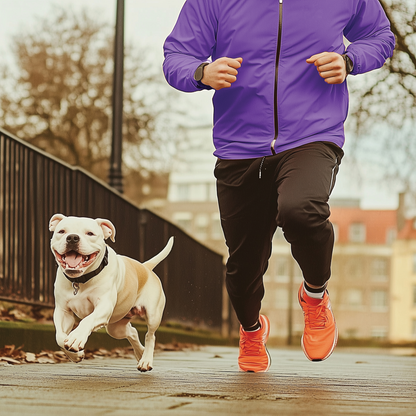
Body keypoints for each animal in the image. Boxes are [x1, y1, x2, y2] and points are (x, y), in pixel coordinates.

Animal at [48, 214, 172, 370]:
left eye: (90, 233)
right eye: (61, 231)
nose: (72, 237)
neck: (81, 279)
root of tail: (145, 267)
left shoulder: (104, 307)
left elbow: (88, 320)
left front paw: (76, 338)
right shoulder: (63, 312)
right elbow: (59, 337)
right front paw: (75, 355)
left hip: (153, 315)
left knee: (150, 336)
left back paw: (146, 360)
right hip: (116, 327)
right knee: (132, 332)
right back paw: (140, 353)